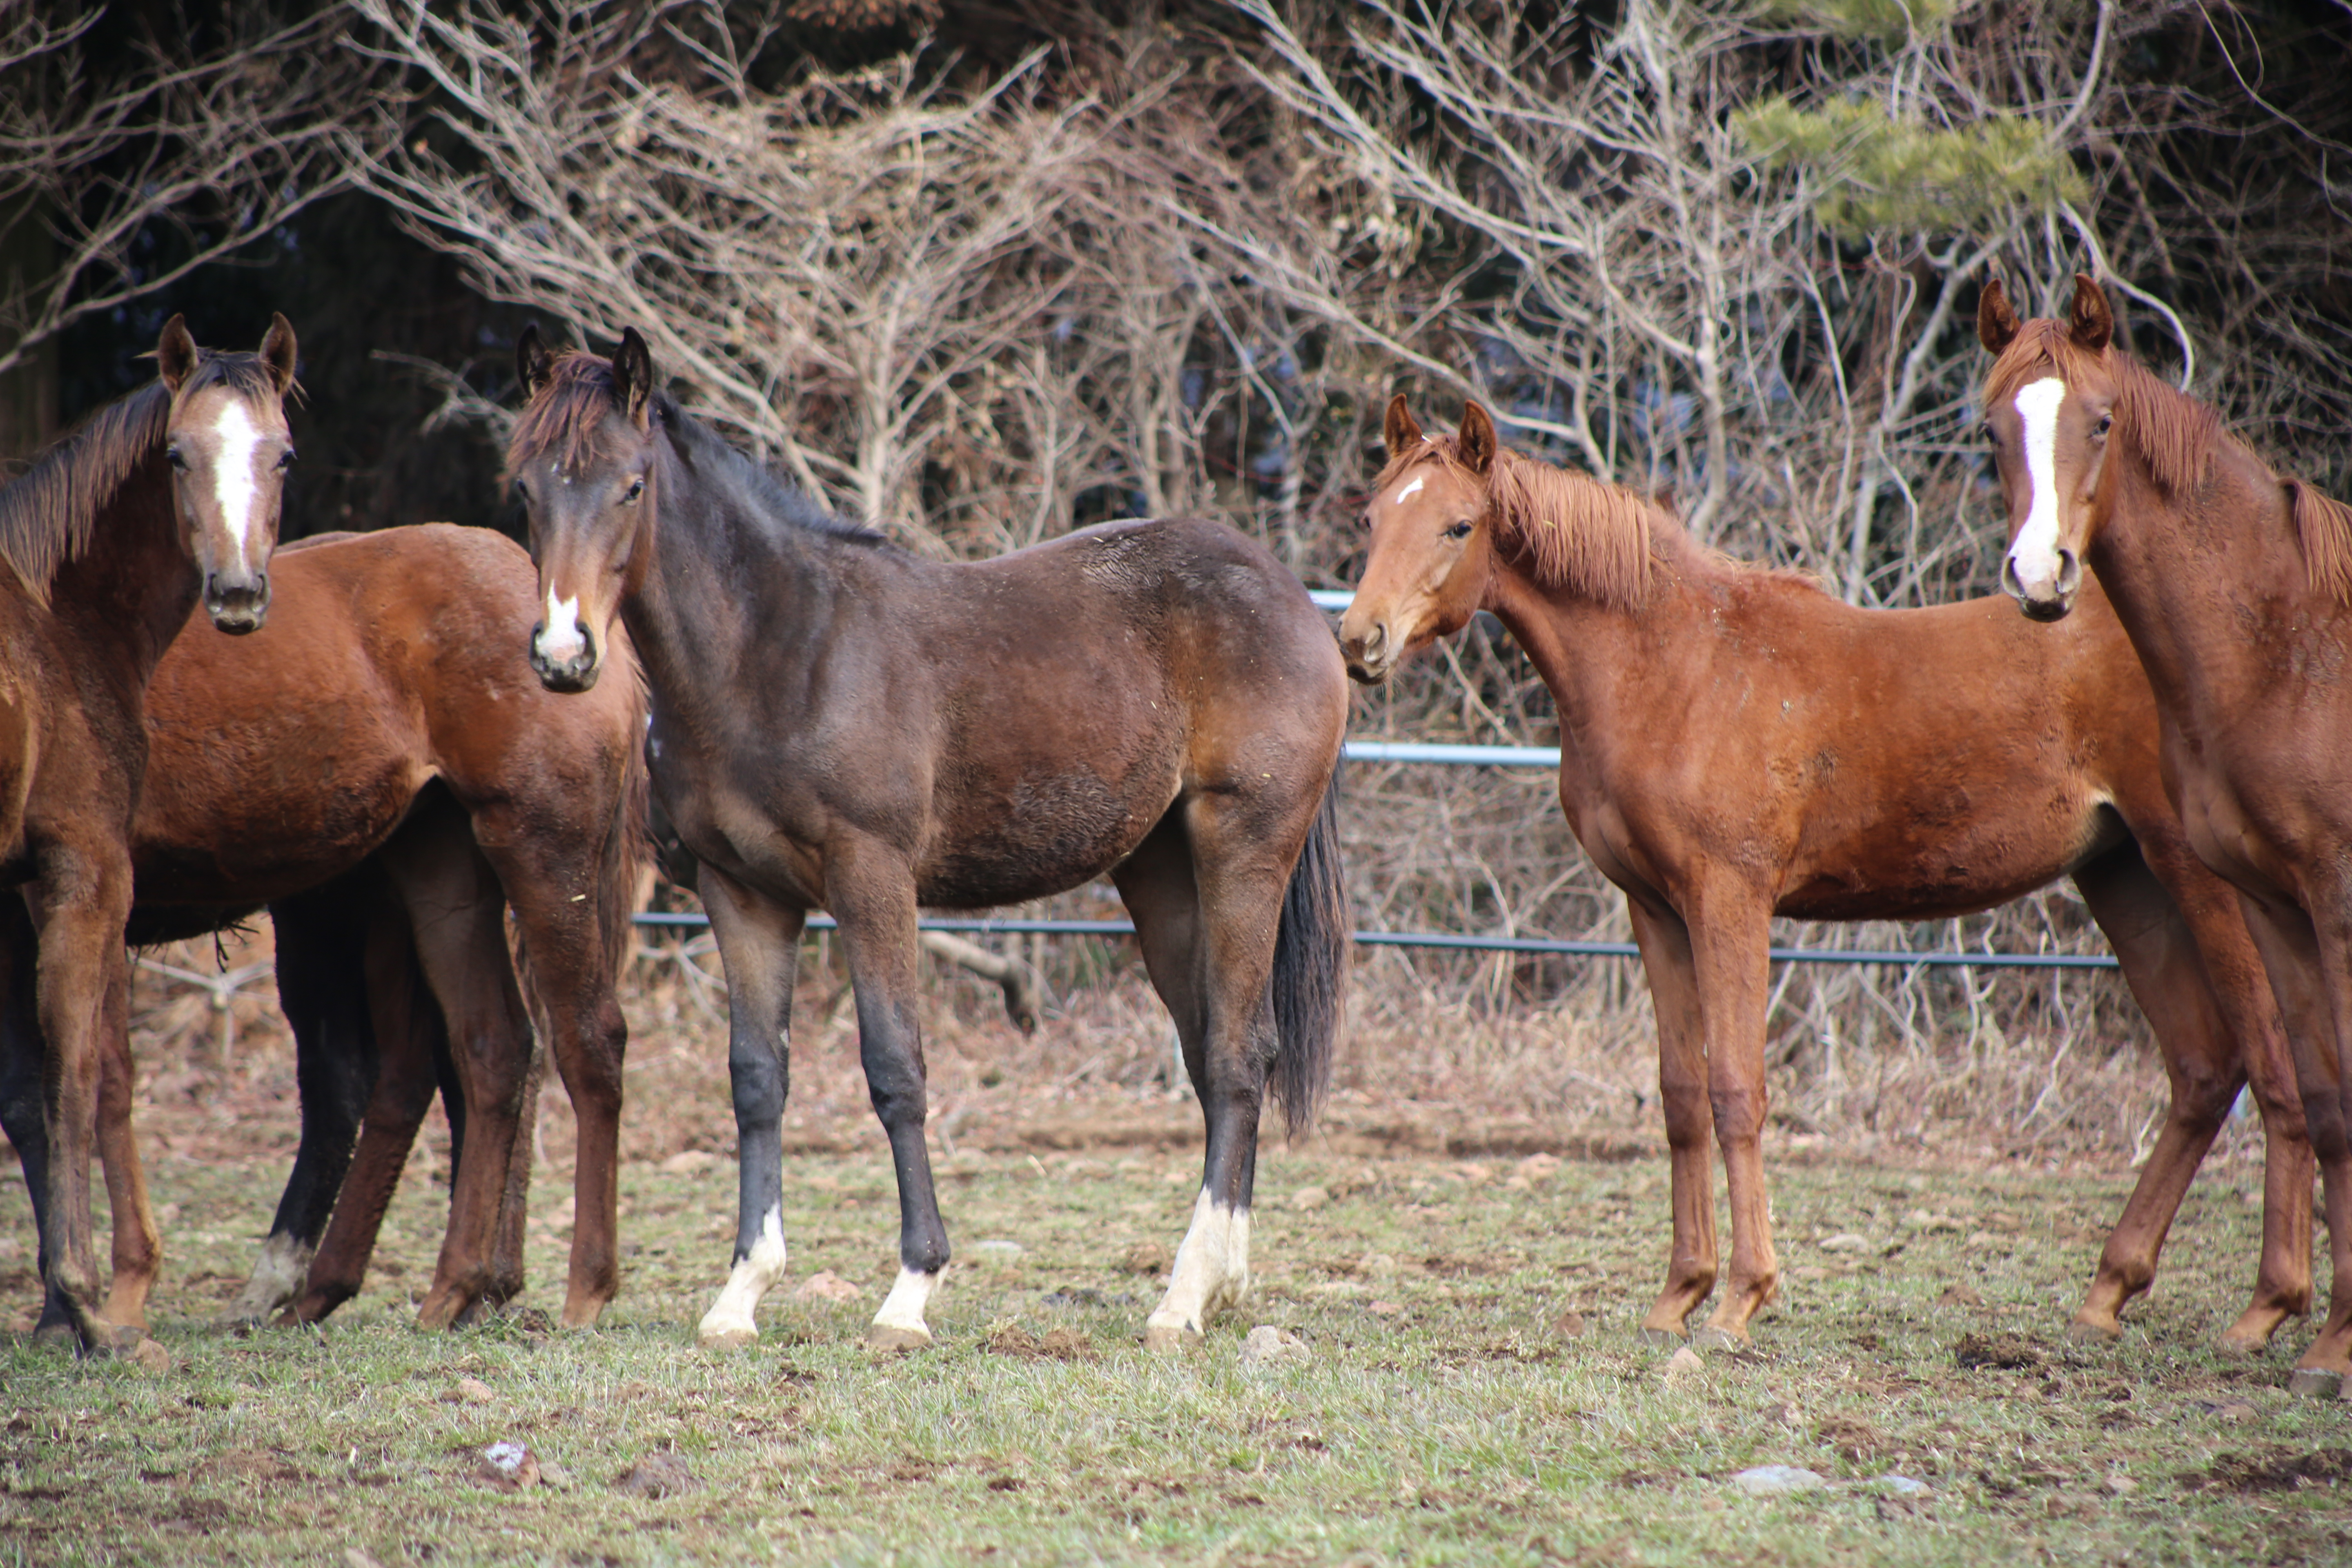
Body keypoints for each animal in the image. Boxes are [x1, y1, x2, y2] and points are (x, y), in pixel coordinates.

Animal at [0, 315, 296, 1354]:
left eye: (283, 452)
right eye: (177, 454)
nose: (239, 594)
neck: (55, 621)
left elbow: (42, 1089)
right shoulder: (85, 875)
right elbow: (78, 1074)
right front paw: (88, 1298)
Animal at [2, 526, 644, 1335]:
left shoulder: (77, 894)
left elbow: (89, 1080)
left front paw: (102, 1298)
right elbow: (42, 1094)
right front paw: (71, 1305)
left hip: (527, 861)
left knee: (580, 1044)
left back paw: (578, 1288)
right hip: (434, 882)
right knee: (488, 1051)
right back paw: (446, 1288)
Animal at [501, 329, 1345, 1354]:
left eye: (630, 485)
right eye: (527, 489)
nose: (563, 654)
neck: (784, 650)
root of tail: (1292, 597)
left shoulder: (872, 880)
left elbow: (895, 1068)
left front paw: (911, 1289)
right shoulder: (743, 894)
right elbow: (756, 1079)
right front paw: (740, 1294)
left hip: (1243, 849)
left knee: (1237, 1055)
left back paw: (1181, 1299)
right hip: (1159, 875)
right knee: (1215, 1052)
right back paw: (1224, 1281)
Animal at [1345, 399, 2314, 1354]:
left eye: (1458, 525)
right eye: (1373, 517)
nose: (1361, 641)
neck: (1674, 664)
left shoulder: (1729, 901)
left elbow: (1737, 1090)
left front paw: (1741, 1300)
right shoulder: (1654, 910)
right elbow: (1682, 1096)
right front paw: (1678, 1295)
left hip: (2200, 879)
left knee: (2273, 1064)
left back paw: (2268, 1307)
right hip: (2121, 878)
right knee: (2203, 1069)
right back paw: (2110, 1292)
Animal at [1994, 276, 2352, 1392]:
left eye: (2101, 421)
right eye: (1992, 428)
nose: (2040, 574)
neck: (2287, 648)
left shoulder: (2335, 899)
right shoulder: (2277, 903)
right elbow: (2324, 1097)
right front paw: (2326, 1338)